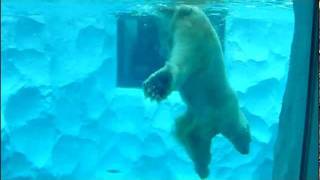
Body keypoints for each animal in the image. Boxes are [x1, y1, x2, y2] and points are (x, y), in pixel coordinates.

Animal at [144, 4, 251, 179]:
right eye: (250, 139)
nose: (246, 151)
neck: (234, 114)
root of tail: (188, 9)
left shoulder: (194, 113)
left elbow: (183, 128)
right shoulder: (219, 115)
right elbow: (197, 136)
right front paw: (203, 169)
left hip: (174, 30)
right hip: (201, 46)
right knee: (183, 65)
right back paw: (160, 84)